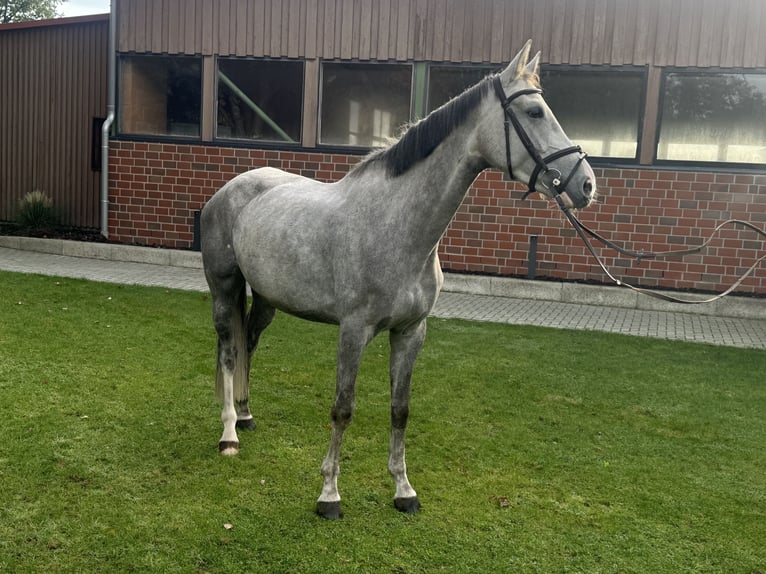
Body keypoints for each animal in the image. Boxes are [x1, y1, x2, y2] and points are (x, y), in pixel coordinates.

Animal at [200, 41, 597, 519]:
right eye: (535, 112)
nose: (586, 184)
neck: (397, 225)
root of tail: (229, 190)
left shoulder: (411, 333)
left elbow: (400, 409)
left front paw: (404, 490)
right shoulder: (353, 332)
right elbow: (343, 408)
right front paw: (329, 494)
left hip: (265, 300)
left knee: (248, 344)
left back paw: (244, 415)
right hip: (224, 288)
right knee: (228, 351)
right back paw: (228, 434)